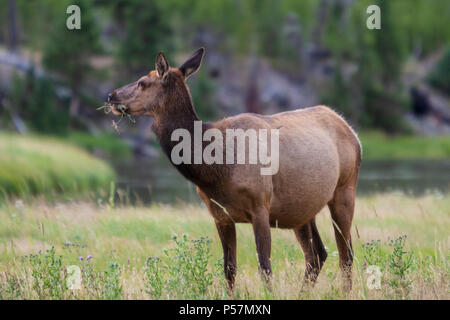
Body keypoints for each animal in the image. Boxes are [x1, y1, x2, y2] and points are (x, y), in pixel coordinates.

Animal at [108, 48, 362, 292]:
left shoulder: (260, 206)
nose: (111, 95)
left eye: (142, 82)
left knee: (346, 254)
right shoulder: (220, 215)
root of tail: (352, 130)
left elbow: (264, 267)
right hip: (302, 207)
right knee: (317, 254)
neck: (217, 169)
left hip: (344, 189)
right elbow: (229, 269)